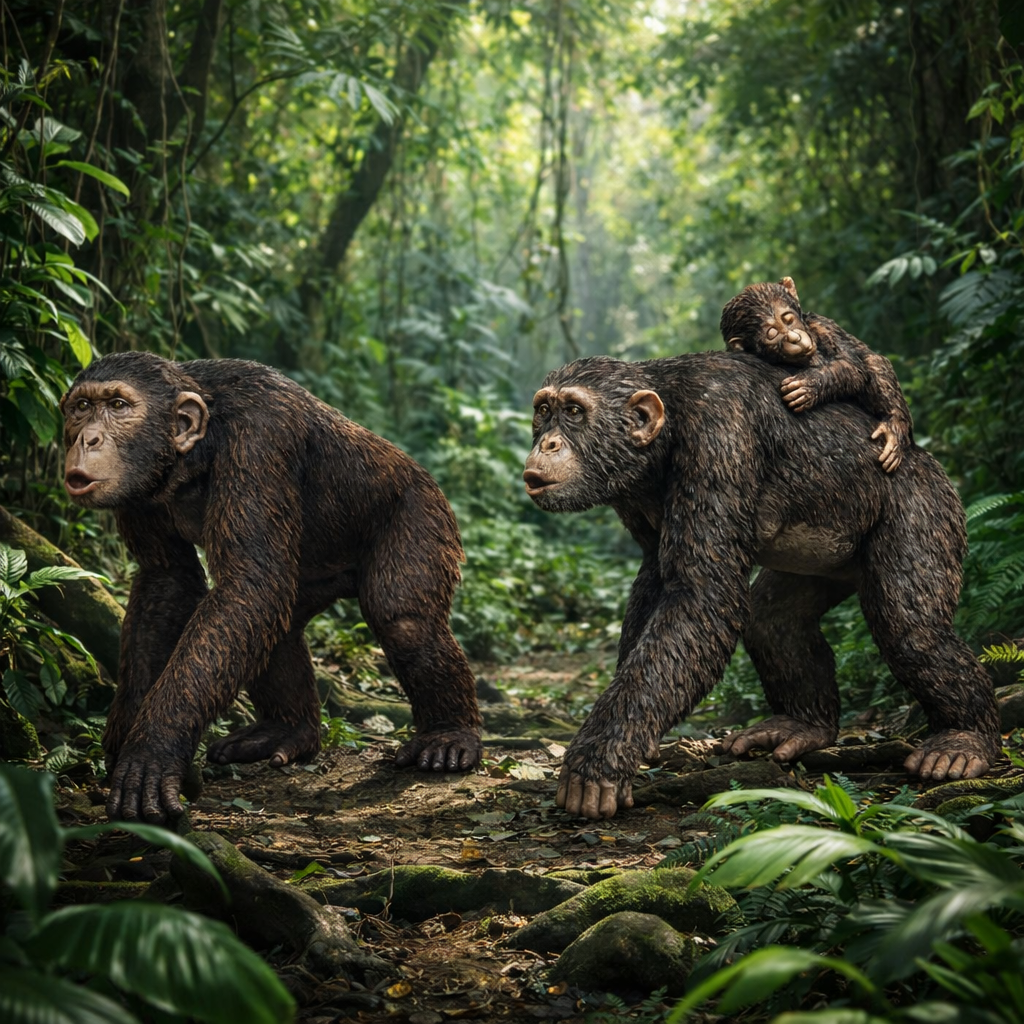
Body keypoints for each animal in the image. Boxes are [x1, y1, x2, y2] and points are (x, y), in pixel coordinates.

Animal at [62, 351, 482, 823]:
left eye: (118, 405)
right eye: (81, 408)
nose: (88, 438)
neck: (195, 452)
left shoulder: (260, 442)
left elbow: (249, 583)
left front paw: (153, 746)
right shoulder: (138, 490)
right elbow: (169, 579)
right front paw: (123, 738)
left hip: (422, 509)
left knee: (404, 620)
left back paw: (448, 736)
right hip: (315, 578)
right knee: (275, 627)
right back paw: (286, 731)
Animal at [522, 353, 999, 820]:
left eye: (574, 412)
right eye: (543, 411)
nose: (547, 443)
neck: (664, 432)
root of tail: (925, 459)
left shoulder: (719, 438)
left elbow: (702, 595)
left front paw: (598, 759)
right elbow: (657, 580)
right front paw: (635, 742)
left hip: (923, 504)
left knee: (913, 632)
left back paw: (963, 739)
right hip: (828, 561)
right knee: (773, 621)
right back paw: (801, 726)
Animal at [720, 277, 913, 472]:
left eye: (788, 319)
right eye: (772, 334)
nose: (794, 338)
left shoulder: (823, 326)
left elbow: (851, 364)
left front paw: (807, 385)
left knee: (874, 362)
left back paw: (894, 426)